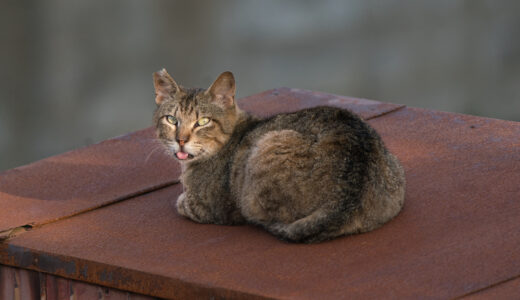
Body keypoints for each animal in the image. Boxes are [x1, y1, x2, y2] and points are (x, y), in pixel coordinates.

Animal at [152, 69, 404, 243]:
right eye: (171, 120)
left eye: (203, 121)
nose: (181, 140)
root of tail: (346, 196)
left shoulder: (211, 208)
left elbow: (182, 203)